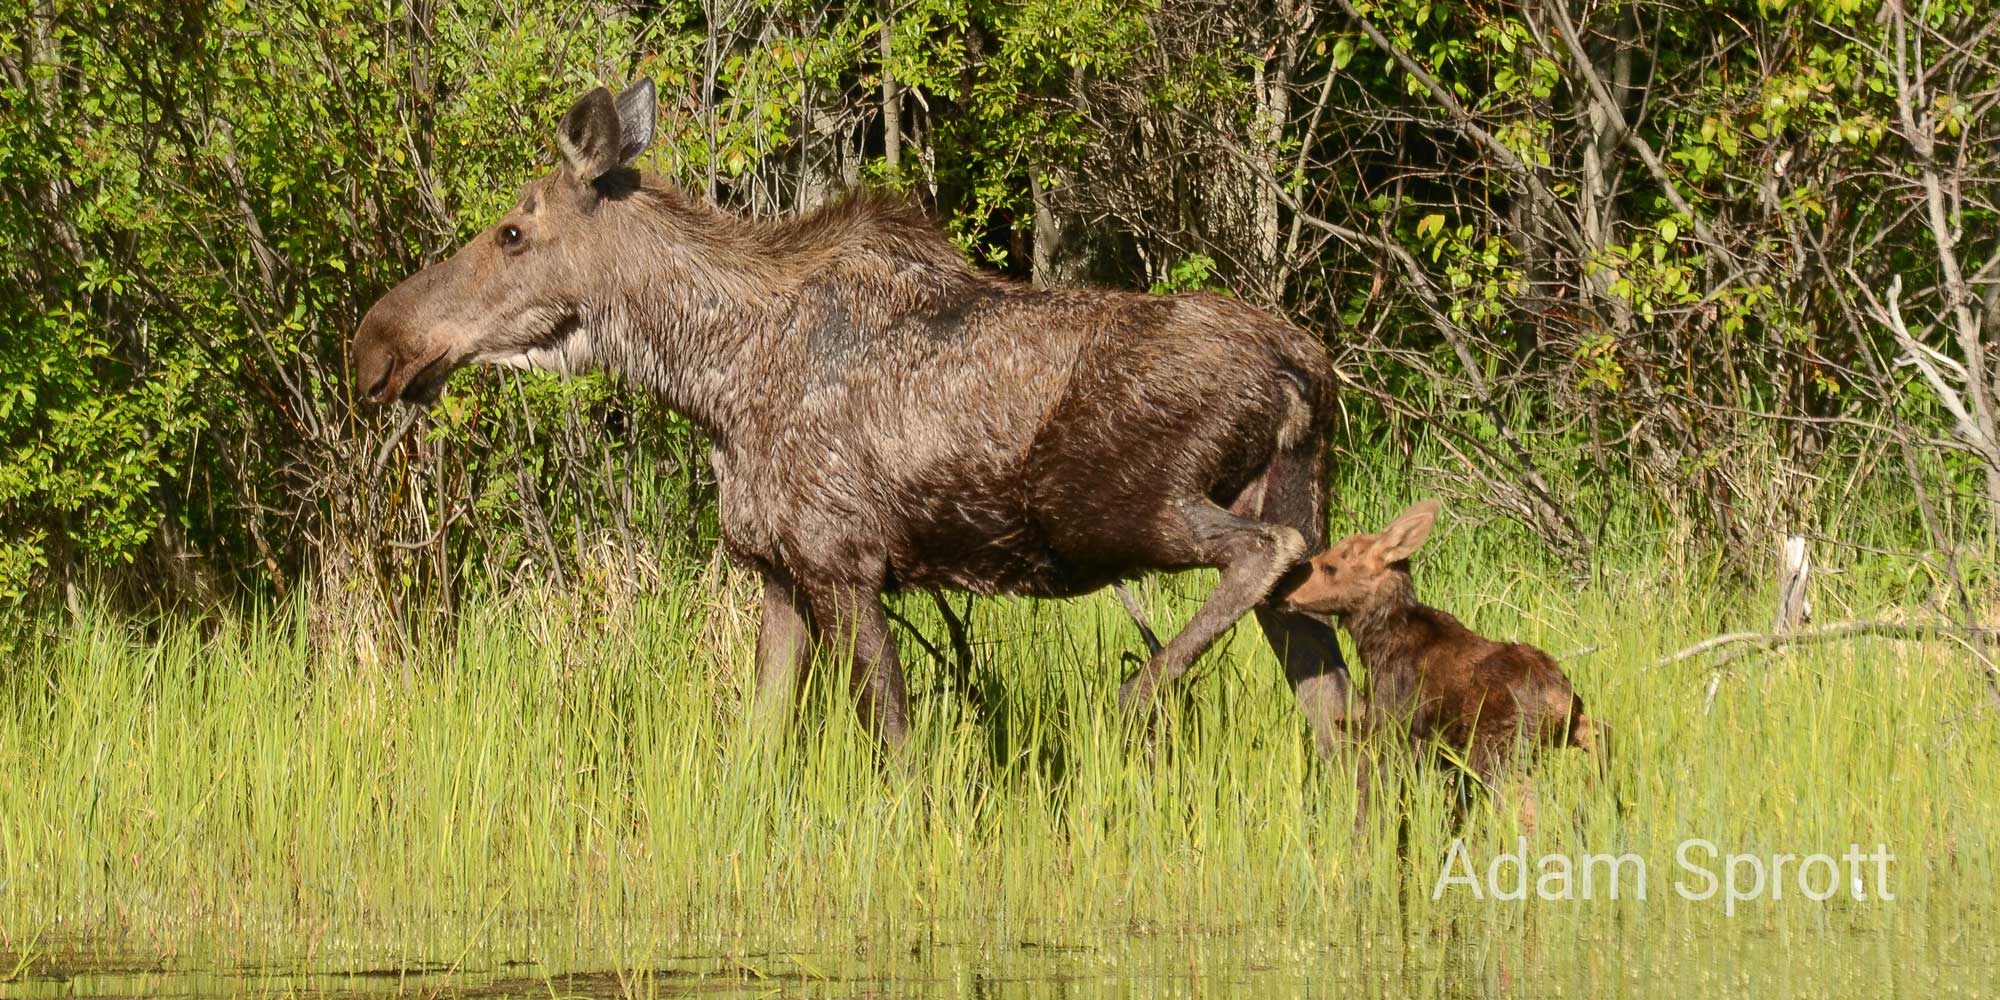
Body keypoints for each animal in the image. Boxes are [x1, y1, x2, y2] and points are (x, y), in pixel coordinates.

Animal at [360, 80, 1360, 752]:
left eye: (513, 232)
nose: (375, 345)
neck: (710, 381)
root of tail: (1306, 366)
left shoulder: (842, 561)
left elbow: (898, 749)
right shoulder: (778, 569)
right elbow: (755, 750)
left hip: (1112, 507)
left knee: (1262, 558)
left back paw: (1125, 703)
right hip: (1285, 498)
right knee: (1335, 698)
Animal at [1288, 496, 1600, 824]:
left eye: (1330, 567)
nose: (1285, 590)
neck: (1376, 643)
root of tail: (1560, 701)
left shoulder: (1393, 721)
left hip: (1499, 749)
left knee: (1527, 806)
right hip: (1563, 730)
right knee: (1598, 734)